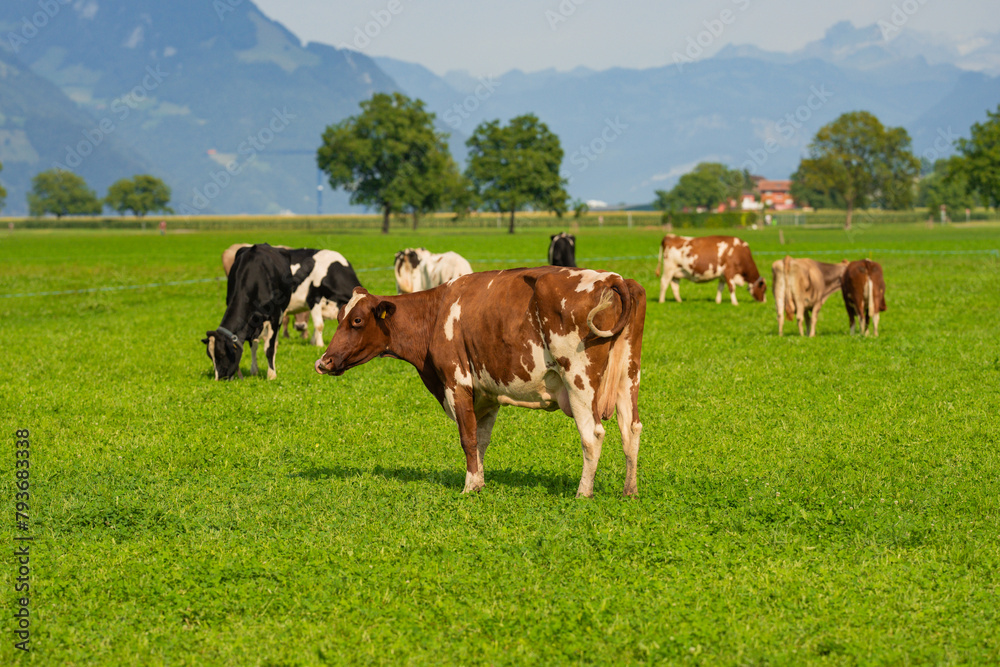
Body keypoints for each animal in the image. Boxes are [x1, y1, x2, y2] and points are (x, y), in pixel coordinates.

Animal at [204, 245, 364, 380]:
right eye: (210, 356)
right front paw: (319, 345)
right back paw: (255, 370)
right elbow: (319, 325)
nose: (220, 378)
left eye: (222, 354)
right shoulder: (313, 300)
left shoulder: (276, 315)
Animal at [314, 266, 648, 496]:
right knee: (631, 428)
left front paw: (468, 487)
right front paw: (479, 482)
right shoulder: (486, 394)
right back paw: (629, 491)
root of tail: (611, 277)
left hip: (579, 380)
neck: (435, 313)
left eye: (357, 321)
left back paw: (583, 492)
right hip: (628, 376)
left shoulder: (456, 381)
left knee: (592, 434)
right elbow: (481, 439)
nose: (324, 362)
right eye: (340, 316)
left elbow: (468, 438)